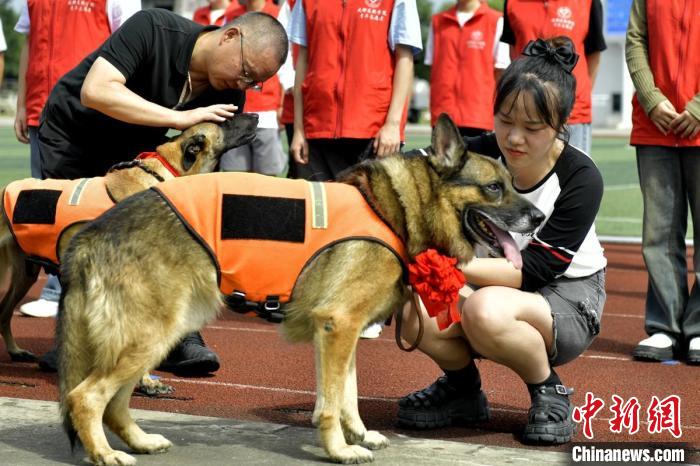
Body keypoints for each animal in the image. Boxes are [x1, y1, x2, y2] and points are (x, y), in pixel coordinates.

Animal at [57, 114, 544, 466]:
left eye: (513, 185)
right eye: (495, 188)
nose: (539, 219)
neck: (393, 209)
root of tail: (92, 234)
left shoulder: (341, 333)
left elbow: (346, 394)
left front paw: (357, 434)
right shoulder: (339, 326)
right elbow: (331, 402)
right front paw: (340, 450)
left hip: (155, 338)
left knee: (114, 403)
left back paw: (139, 442)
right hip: (150, 336)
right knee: (86, 398)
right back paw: (104, 454)